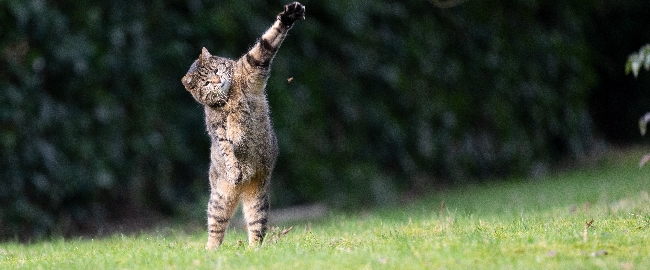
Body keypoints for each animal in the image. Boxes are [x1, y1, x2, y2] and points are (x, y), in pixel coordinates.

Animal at [181, 1, 306, 249]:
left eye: (217, 70)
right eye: (206, 83)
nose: (218, 80)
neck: (230, 95)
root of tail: (240, 191)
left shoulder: (253, 64)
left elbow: (267, 41)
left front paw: (289, 15)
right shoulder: (217, 130)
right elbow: (227, 146)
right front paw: (234, 165)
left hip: (257, 199)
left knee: (255, 227)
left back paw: (253, 249)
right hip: (219, 200)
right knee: (216, 228)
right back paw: (211, 250)